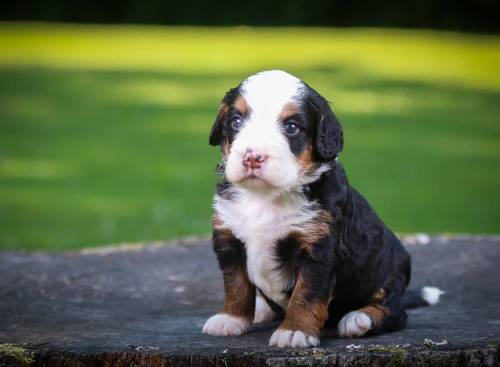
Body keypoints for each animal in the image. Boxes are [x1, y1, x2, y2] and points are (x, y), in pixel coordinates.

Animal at [201, 70, 440, 350]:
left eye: (291, 127)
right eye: (237, 121)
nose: (252, 157)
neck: (266, 197)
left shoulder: (318, 249)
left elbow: (306, 295)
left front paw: (295, 331)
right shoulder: (229, 239)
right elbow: (236, 285)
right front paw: (230, 319)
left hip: (388, 274)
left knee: (393, 311)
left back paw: (359, 319)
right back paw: (262, 309)